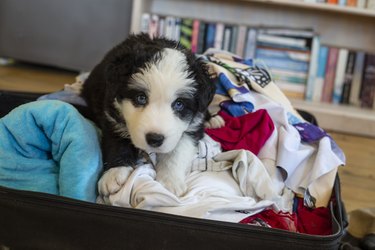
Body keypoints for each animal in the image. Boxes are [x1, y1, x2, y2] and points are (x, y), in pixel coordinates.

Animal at [81, 33, 216, 197]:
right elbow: (116, 142)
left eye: (179, 104)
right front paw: (114, 173)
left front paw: (170, 180)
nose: (155, 139)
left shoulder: (193, 127)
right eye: (141, 98)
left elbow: (178, 151)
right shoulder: (111, 114)